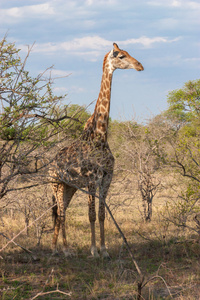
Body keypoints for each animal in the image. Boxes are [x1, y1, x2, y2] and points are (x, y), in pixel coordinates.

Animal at [49, 42, 144, 258]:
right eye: (120, 55)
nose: (140, 66)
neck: (100, 137)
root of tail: (50, 165)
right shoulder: (92, 179)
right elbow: (91, 214)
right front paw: (93, 250)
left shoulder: (107, 178)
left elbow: (101, 215)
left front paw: (104, 250)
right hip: (56, 185)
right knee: (61, 213)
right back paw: (65, 250)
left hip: (70, 187)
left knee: (59, 213)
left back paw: (56, 248)